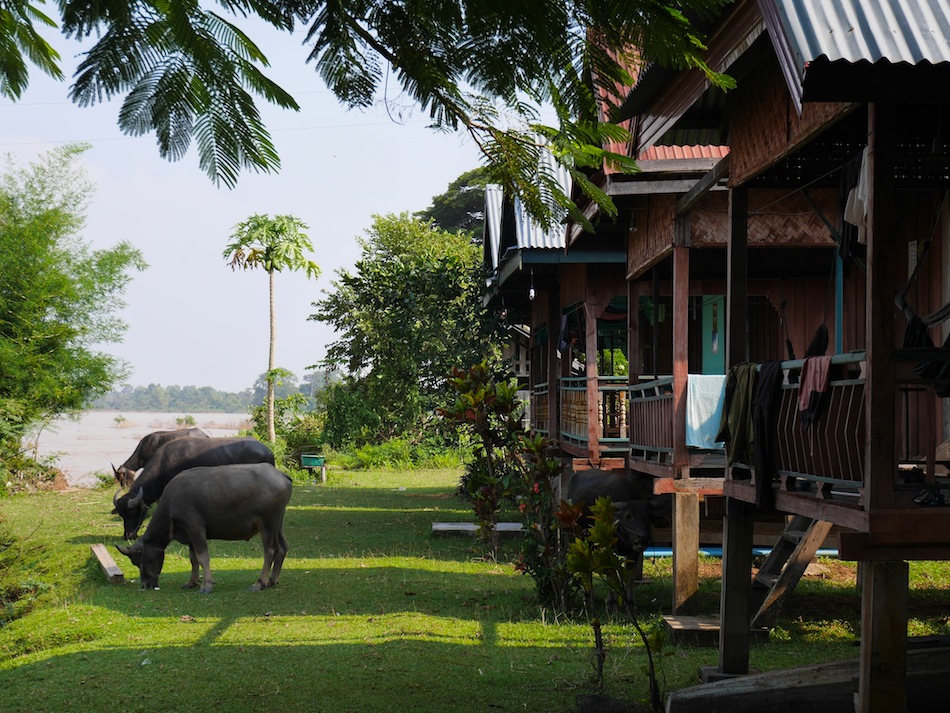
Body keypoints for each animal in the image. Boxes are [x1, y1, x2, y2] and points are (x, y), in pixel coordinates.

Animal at [114, 458, 290, 592]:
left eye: (140, 561)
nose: (145, 585)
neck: (171, 504)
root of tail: (282, 476)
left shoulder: (196, 529)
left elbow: (203, 556)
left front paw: (206, 585)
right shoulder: (189, 535)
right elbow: (193, 559)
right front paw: (191, 582)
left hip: (268, 523)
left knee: (270, 551)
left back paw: (259, 583)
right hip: (278, 523)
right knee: (283, 547)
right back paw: (272, 580)